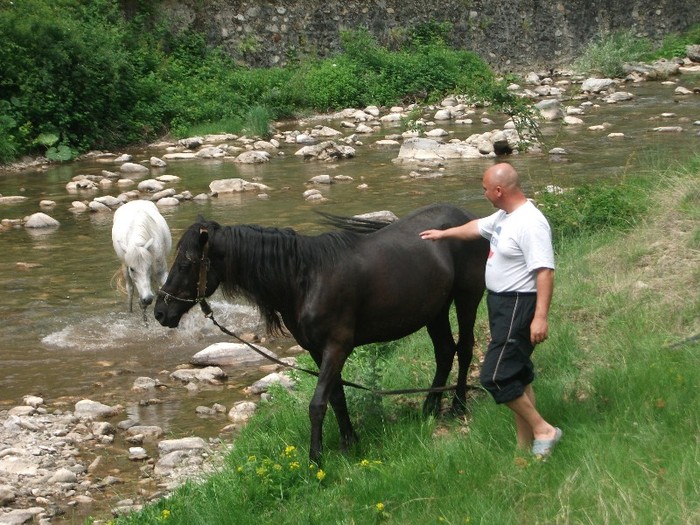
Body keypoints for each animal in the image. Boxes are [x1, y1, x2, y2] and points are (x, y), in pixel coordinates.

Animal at [153, 203, 486, 460]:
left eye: (185, 264)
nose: (160, 312)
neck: (306, 279)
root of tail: (467, 216)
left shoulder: (336, 348)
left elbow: (317, 404)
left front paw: (316, 458)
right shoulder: (316, 349)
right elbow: (336, 397)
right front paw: (349, 442)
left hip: (467, 298)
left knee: (465, 348)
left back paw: (457, 406)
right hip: (436, 311)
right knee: (444, 352)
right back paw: (430, 407)